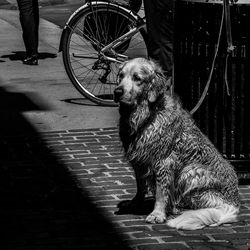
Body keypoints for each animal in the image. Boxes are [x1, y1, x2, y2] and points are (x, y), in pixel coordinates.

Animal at [113, 57, 240, 229]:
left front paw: (157, 214)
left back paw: (176, 208)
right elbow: (140, 187)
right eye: (121, 76)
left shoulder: (164, 162)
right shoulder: (139, 161)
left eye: (137, 78)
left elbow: (161, 192)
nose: (117, 92)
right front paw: (135, 203)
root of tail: (233, 205)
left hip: (190, 171)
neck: (146, 116)